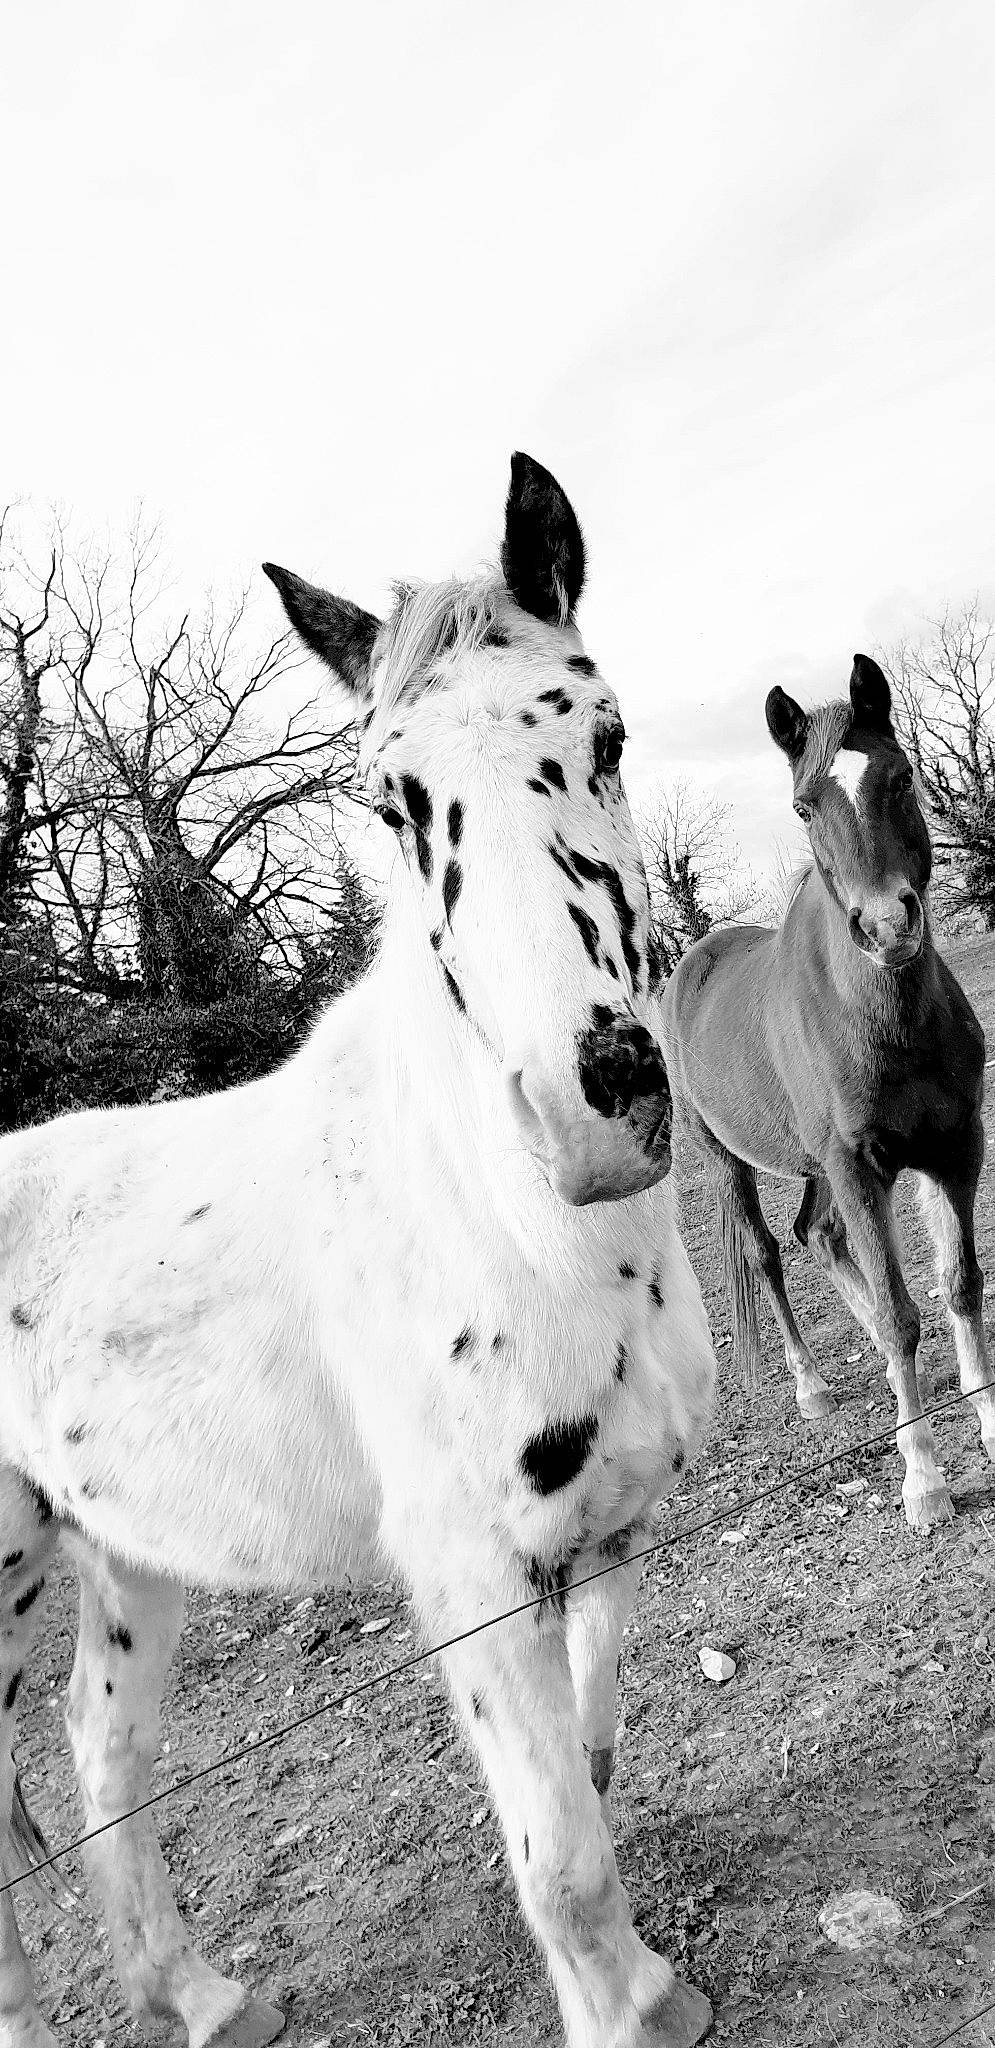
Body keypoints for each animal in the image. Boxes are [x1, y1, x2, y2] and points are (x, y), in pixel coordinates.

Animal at [0, 455, 718, 2048]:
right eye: (393, 803)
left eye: (605, 737)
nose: (590, 1114)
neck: (513, 1228)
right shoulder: (470, 1576)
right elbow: (557, 1852)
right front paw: (625, 2009)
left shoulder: (605, 1530)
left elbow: (589, 1766)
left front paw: (641, 1988)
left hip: (120, 1560)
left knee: (100, 1752)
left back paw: (202, 1996)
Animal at [659, 651, 995, 1534]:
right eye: (803, 806)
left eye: (901, 776)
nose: (885, 926)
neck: (880, 1017)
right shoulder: (855, 1167)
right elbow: (903, 1313)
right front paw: (923, 1482)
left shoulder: (953, 1150)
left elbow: (959, 1287)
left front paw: (989, 1424)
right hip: (735, 1165)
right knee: (769, 1253)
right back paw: (812, 1385)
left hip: (813, 1167)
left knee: (816, 1236)